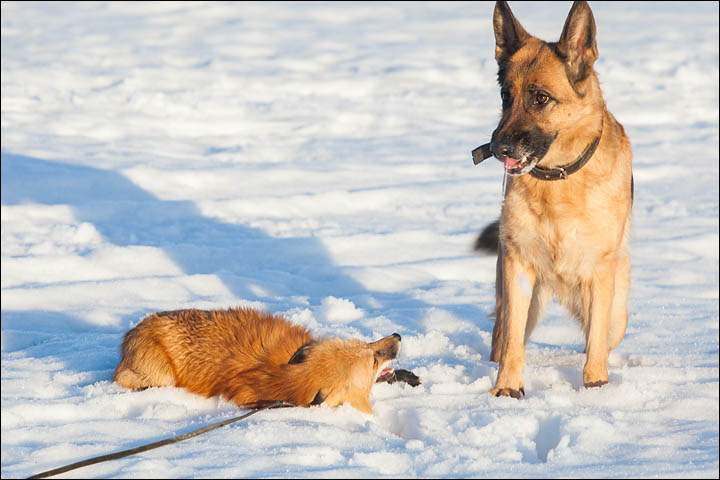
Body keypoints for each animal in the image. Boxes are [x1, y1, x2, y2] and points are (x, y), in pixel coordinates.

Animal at [114, 308, 422, 412]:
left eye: (366, 344)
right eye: (372, 360)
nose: (397, 335)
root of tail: (130, 334)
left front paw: (408, 377)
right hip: (160, 376)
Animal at [476, 0, 632, 398]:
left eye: (541, 98)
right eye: (505, 96)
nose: (497, 148)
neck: (558, 180)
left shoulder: (600, 273)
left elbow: (595, 341)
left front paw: (595, 387)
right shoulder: (517, 267)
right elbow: (513, 344)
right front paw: (506, 389)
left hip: (618, 310)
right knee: (502, 335)